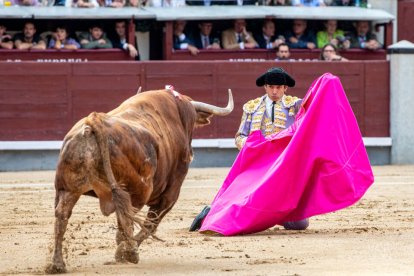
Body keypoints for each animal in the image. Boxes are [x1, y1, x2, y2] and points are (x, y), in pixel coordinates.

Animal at [46, 87, 233, 272]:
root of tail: (94, 121)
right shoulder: (170, 193)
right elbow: (151, 223)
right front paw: (126, 252)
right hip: (136, 190)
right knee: (128, 218)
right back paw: (130, 252)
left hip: (68, 188)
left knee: (62, 215)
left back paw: (57, 264)